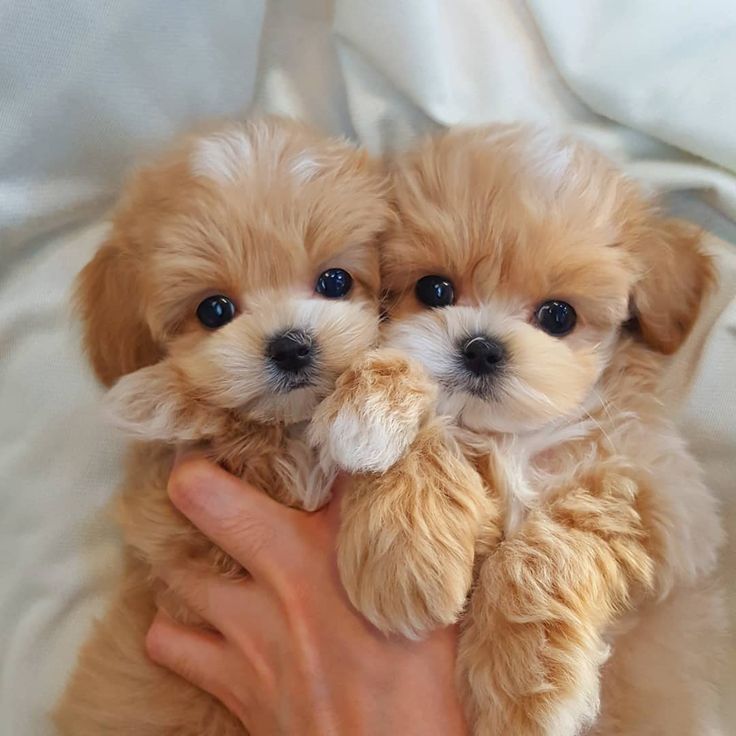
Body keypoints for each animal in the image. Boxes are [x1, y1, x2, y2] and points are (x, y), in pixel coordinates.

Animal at [310, 125, 724, 736]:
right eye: (435, 290)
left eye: (559, 316)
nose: (481, 348)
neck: (510, 437)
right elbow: (424, 427)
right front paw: (406, 551)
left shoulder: (665, 498)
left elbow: (557, 538)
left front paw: (526, 686)